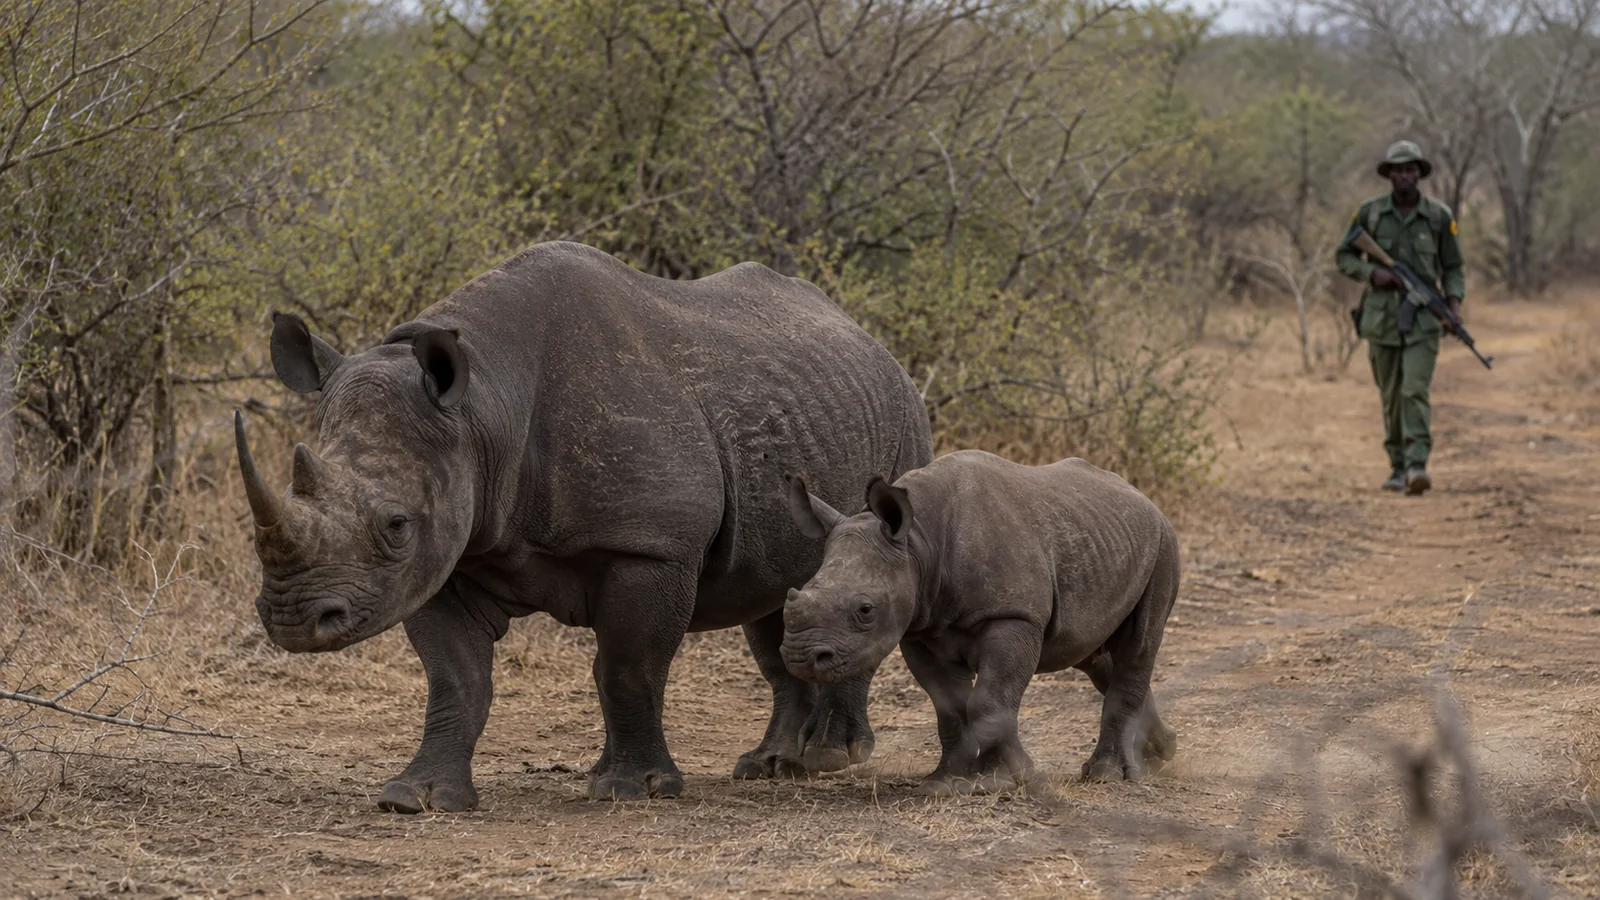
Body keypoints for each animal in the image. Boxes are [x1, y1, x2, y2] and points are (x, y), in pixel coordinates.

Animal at [234, 241, 932, 811]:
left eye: (397, 524)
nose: (294, 621)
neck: (484, 407)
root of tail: (876, 345)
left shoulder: (652, 546)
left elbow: (628, 665)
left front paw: (631, 790)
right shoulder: (448, 554)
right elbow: (455, 678)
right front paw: (418, 797)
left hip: (904, 421)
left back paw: (832, 757)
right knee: (772, 597)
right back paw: (769, 767)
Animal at [782, 450, 1179, 795]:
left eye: (865, 610)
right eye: (798, 593)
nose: (802, 657)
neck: (919, 542)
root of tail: (1144, 498)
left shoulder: (1012, 616)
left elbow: (989, 702)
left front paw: (1016, 778)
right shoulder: (921, 629)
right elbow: (950, 707)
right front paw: (948, 783)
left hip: (1162, 544)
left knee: (1138, 646)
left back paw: (1109, 775)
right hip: (1098, 536)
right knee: (1094, 656)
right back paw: (1161, 754)